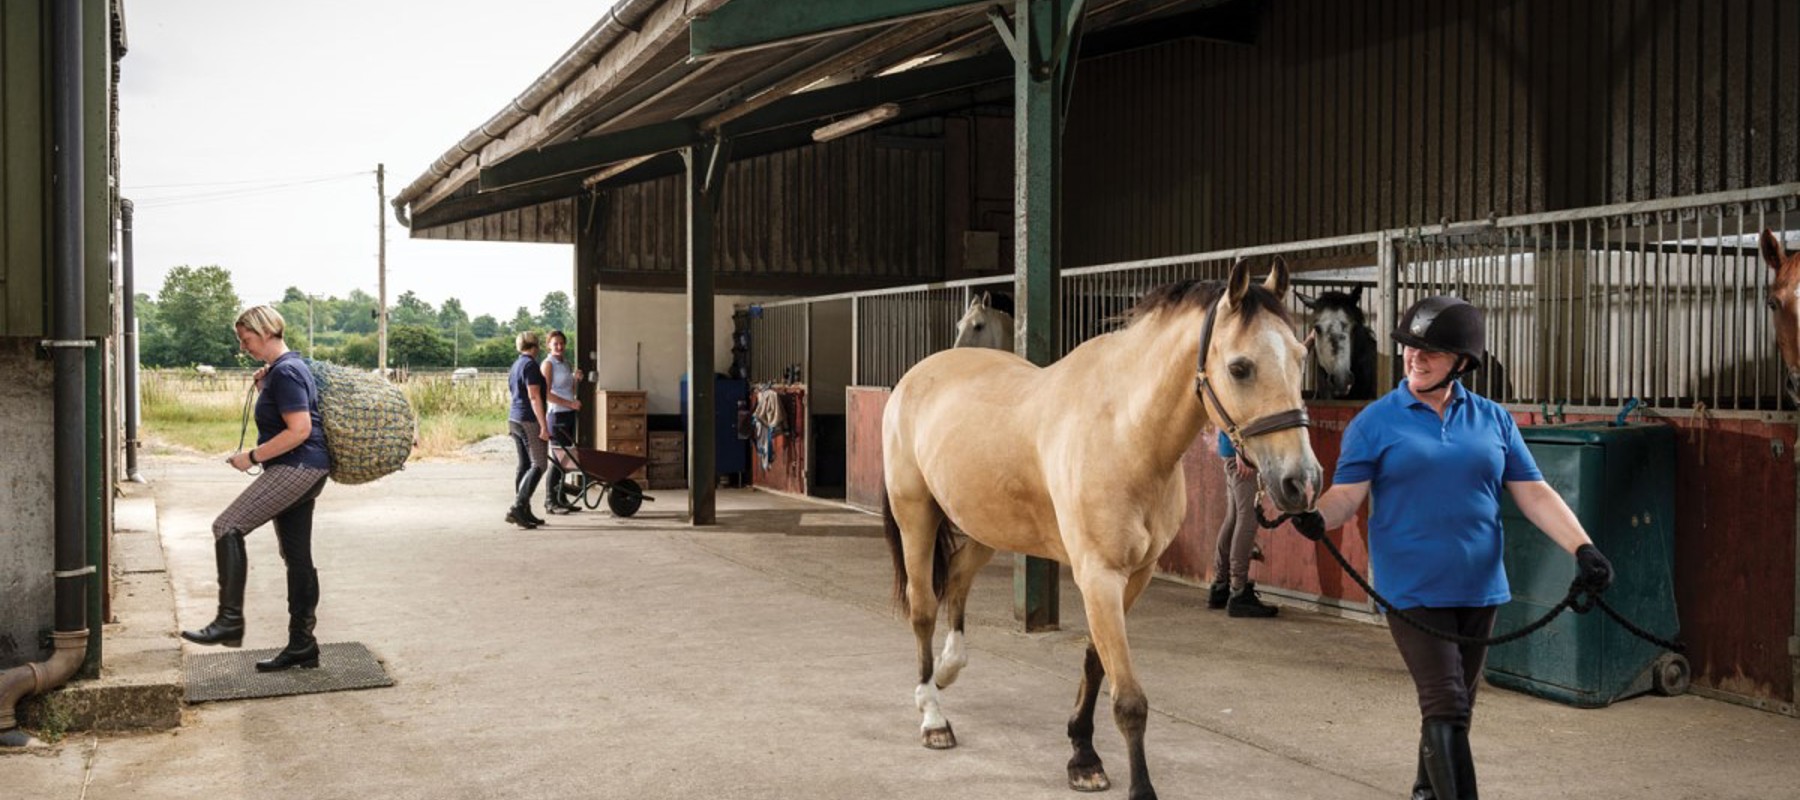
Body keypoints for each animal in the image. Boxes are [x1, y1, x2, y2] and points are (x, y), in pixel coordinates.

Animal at [881, 259, 1321, 800]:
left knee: (959, 580)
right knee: (923, 606)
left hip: (986, 524)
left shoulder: (1135, 575)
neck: (1125, 432)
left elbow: (1096, 660)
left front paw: (1082, 755)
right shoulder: (1099, 575)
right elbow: (1128, 698)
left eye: (1301, 356)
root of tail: (917, 375)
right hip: (915, 515)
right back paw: (932, 715)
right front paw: (1135, 785)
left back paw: (946, 672)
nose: (1302, 482)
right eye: (1240, 367)